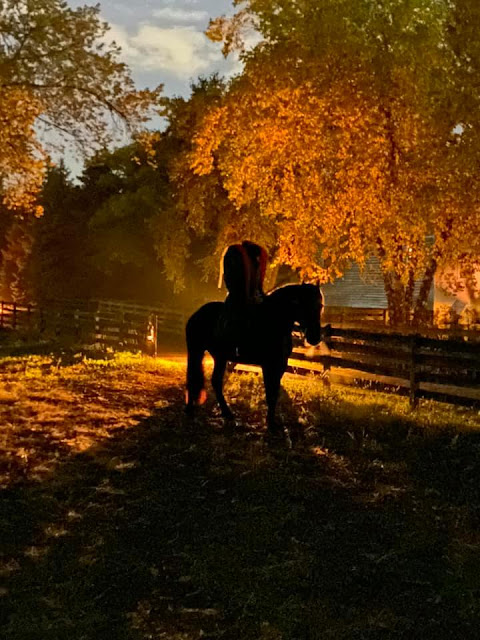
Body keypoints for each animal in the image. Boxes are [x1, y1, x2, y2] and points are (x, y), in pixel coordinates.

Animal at [185, 283, 322, 432]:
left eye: (320, 305)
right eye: (303, 304)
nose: (315, 337)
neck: (273, 322)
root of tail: (197, 313)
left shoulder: (280, 365)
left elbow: (274, 393)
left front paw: (272, 422)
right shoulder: (268, 365)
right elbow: (270, 393)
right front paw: (271, 424)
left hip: (220, 357)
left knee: (215, 381)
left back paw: (227, 413)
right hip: (196, 351)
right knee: (193, 377)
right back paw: (190, 410)